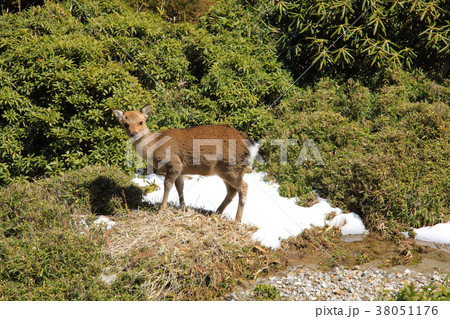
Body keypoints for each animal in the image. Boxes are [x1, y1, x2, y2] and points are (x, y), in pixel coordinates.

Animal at [112, 105, 258, 222]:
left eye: (141, 122)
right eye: (125, 123)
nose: (134, 134)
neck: (154, 147)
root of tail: (251, 146)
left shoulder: (174, 163)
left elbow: (168, 185)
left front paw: (161, 210)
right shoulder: (181, 169)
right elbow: (180, 187)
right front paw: (183, 208)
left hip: (231, 168)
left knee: (244, 187)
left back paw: (237, 220)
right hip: (226, 171)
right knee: (232, 191)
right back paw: (215, 213)